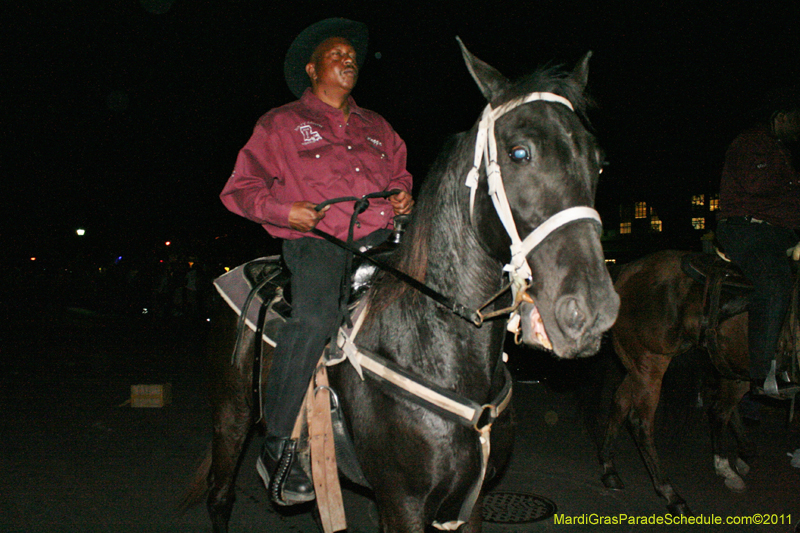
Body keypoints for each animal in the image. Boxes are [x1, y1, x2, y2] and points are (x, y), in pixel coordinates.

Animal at [600, 249, 800, 516]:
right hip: (650, 362)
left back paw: (609, 469)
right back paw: (671, 493)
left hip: (643, 363)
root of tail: (630, 269)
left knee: (621, 402)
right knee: (641, 423)